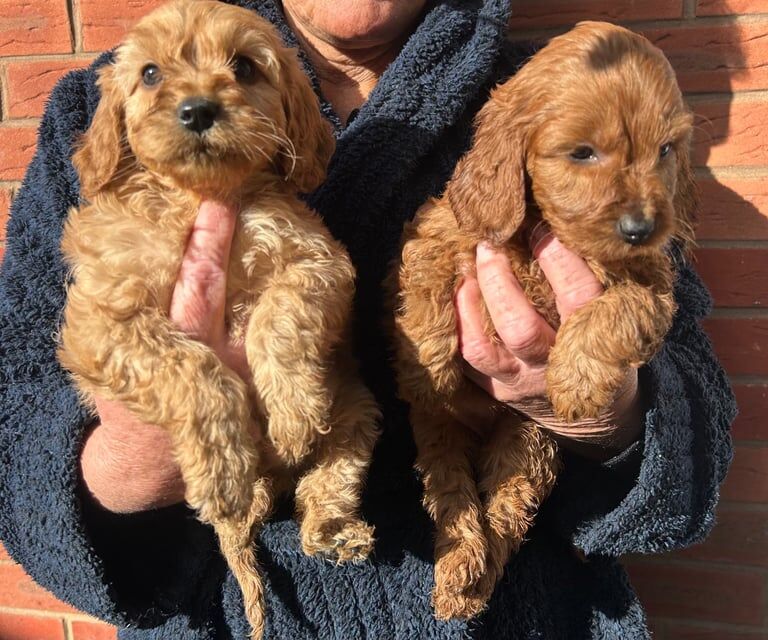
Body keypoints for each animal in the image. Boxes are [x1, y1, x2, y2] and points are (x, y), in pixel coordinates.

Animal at [59, 2, 380, 636]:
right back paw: (243, 492)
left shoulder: (318, 260)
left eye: (246, 67)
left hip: (355, 411)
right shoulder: (101, 319)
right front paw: (220, 461)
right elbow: (191, 367)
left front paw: (292, 414)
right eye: (150, 73)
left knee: (326, 479)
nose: (198, 109)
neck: (197, 195)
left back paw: (330, 529)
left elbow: (277, 317)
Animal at [390, 21, 696, 620]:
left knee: (507, 511)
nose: (640, 228)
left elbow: (620, 311)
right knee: (453, 494)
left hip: (530, 443)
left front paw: (576, 380)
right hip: (440, 437)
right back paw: (459, 569)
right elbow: (425, 285)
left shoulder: (653, 285)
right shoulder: (441, 228)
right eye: (582, 153)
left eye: (666, 150)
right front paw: (427, 372)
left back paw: (472, 581)